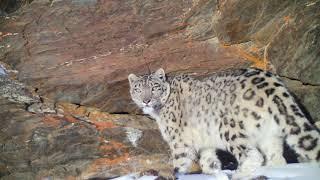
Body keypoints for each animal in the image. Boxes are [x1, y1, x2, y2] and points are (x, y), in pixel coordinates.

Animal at [127, 67, 320, 179]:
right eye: (138, 89)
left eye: (154, 87)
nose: (146, 100)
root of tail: (272, 83)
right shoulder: (205, 144)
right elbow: (209, 162)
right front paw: (215, 173)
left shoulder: (179, 141)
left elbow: (180, 162)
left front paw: (176, 173)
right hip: (269, 134)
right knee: (276, 157)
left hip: (229, 128)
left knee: (252, 155)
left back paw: (239, 175)